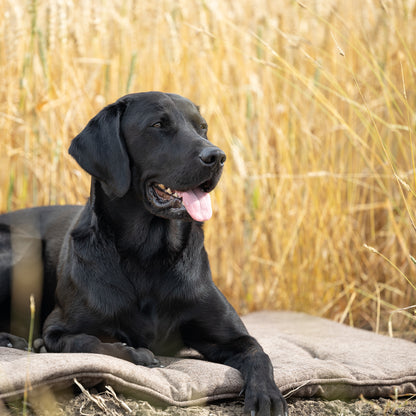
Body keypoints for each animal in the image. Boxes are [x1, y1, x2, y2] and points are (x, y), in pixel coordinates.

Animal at [0, 92, 286, 414]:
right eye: (158, 125)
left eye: (202, 127)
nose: (217, 156)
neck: (148, 256)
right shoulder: (57, 328)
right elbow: (87, 343)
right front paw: (135, 354)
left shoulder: (231, 336)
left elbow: (258, 352)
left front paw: (266, 396)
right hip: (23, 250)